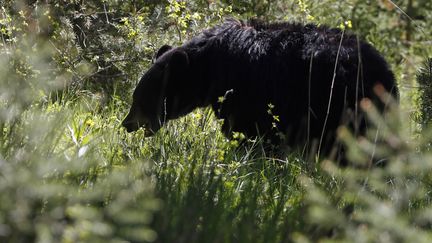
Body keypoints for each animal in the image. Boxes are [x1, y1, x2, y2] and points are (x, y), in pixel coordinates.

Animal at [121, 18, 398, 161]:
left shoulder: (249, 91)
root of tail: (386, 74)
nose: (126, 123)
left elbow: (248, 128)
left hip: (343, 106)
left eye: (140, 98)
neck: (209, 65)